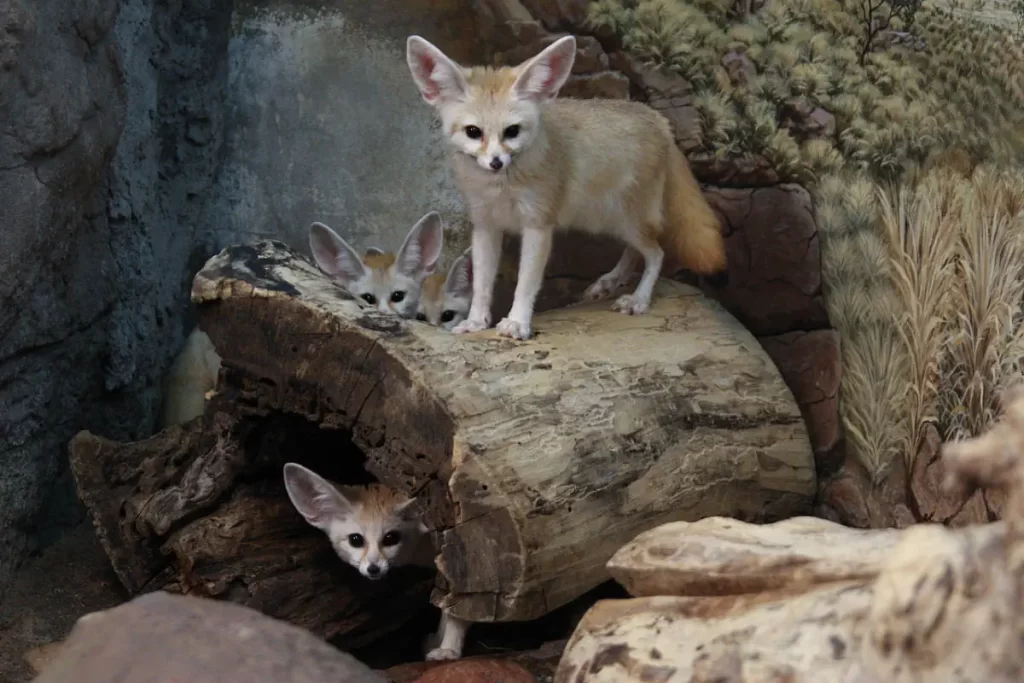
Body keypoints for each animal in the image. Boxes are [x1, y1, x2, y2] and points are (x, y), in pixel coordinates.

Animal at [407, 34, 729, 339]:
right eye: (473, 132)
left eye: (512, 131)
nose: (496, 162)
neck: (500, 188)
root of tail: (657, 118)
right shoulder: (486, 226)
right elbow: (482, 284)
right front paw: (475, 321)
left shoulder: (538, 225)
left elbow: (526, 283)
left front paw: (517, 322)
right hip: (612, 222)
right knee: (639, 250)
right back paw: (611, 280)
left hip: (627, 220)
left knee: (657, 253)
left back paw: (638, 299)